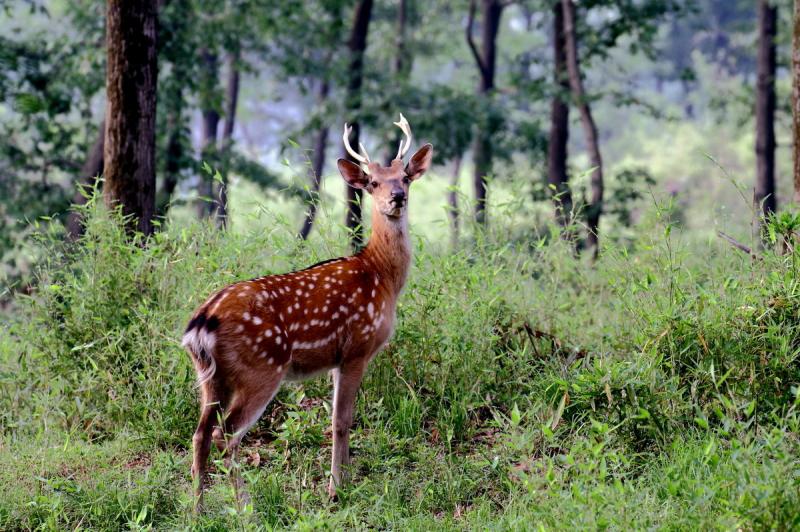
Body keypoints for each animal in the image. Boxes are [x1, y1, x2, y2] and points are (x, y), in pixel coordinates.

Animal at [182, 114, 433, 510]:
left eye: (405, 177)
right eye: (372, 182)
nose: (397, 197)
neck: (381, 276)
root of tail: (201, 323)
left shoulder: (335, 359)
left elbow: (335, 419)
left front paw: (343, 481)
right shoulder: (357, 347)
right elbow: (342, 420)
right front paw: (336, 490)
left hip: (210, 376)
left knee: (199, 433)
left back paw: (198, 509)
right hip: (261, 369)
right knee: (226, 434)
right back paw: (246, 506)